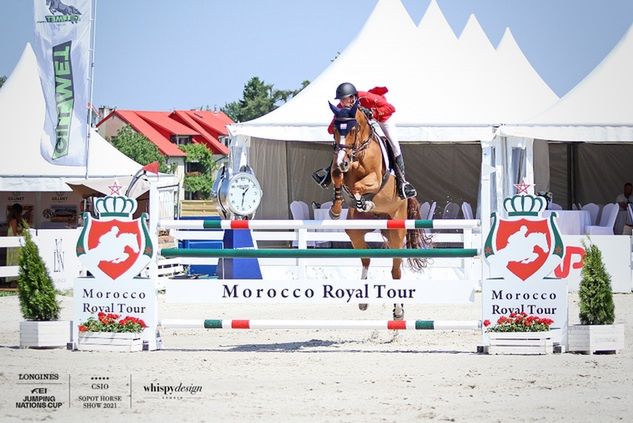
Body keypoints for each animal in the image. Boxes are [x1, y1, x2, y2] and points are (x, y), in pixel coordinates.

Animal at [326, 102, 430, 322]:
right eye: (334, 131)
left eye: (353, 129)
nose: (343, 161)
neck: (358, 152)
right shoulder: (341, 167)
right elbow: (338, 176)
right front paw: (336, 208)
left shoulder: (374, 177)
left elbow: (360, 185)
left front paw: (365, 202)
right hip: (357, 230)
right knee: (366, 258)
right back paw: (363, 301)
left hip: (397, 229)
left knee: (396, 269)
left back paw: (398, 311)